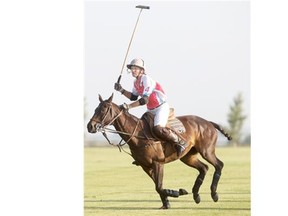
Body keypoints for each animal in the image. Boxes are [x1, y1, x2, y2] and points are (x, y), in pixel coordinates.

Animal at [87, 93, 232, 209]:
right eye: (95, 109)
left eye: (103, 109)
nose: (90, 126)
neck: (137, 134)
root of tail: (209, 122)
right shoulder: (146, 166)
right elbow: (158, 187)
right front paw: (168, 202)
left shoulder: (158, 162)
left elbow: (159, 186)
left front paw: (178, 192)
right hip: (188, 157)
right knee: (204, 168)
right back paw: (196, 195)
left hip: (207, 151)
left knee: (219, 165)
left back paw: (214, 194)